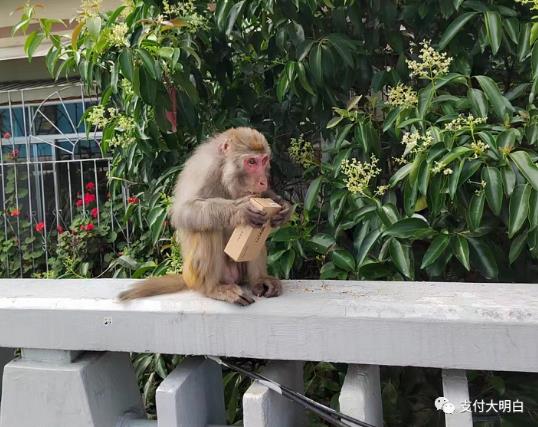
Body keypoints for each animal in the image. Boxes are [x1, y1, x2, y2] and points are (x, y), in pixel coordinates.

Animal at [119, 128, 292, 308]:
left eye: (263, 161)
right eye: (251, 162)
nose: (263, 181)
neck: (224, 170)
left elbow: (262, 197)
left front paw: (283, 206)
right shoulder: (205, 169)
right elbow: (183, 211)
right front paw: (239, 211)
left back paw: (259, 279)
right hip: (198, 274)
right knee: (208, 226)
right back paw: (213, 288)